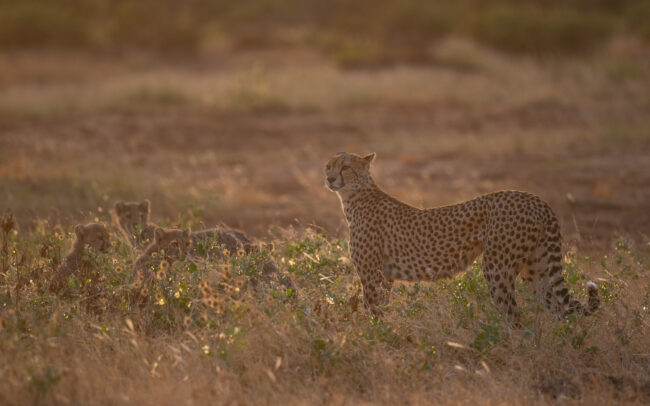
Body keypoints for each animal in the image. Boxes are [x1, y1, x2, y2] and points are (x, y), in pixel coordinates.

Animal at [325, 152, 599, 327]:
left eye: (345, 167)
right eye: (328, 166)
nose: (329, 178)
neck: (355, 197)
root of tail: (535, 199)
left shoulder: (372, 276)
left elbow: (374, 312)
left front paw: (375, 340)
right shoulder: (385, 277)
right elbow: (382, 308)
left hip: (497, 268)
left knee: (514, 318)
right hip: (537, 270)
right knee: (560, 312)